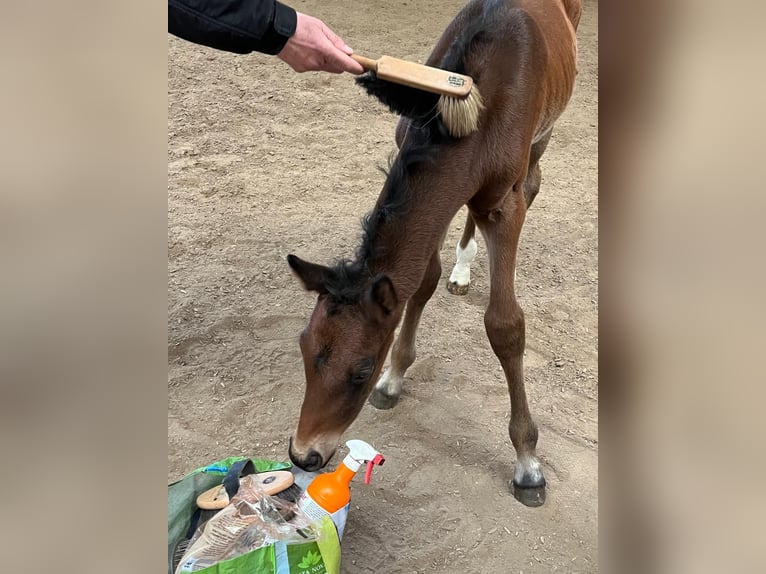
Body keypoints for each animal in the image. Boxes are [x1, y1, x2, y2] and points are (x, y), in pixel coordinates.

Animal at [286, 0, 582, 507]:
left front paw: (528, 464)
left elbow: (505, 326)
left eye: (361, 370)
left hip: (543, 136)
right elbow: (422, 278)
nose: (304, 454)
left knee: (534, 179)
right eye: (306, 348)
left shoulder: (503, 205)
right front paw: (395, 380)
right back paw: (462, 269)